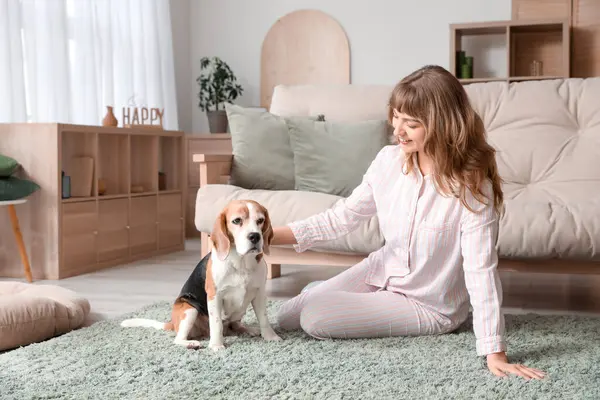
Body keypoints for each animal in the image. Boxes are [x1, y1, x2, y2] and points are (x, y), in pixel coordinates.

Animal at [122, 199, 284, 350]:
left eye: (260, 220)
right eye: (237, 221)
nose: (255, 236)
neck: (241, 263)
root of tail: (172, 324)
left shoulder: (259, 293)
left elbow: (264, 318)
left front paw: (271, 337)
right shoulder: (215, 296)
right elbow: (216, 323)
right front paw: (216, 346)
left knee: (235, 326)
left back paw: (249, 329)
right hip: (189, 310)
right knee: (179, 338)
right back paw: (191, 343)